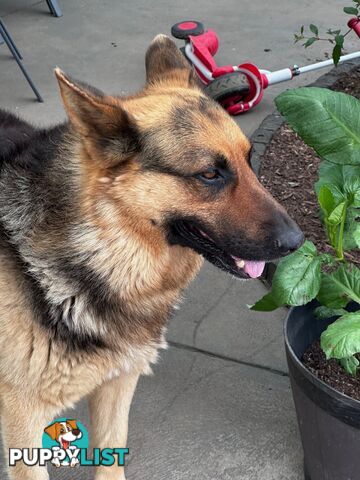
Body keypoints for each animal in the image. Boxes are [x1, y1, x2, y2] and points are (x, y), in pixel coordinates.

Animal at [0, 34, 304, 480]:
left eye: (249, 162)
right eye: (209, 174)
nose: (298, 241)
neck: (101, 248)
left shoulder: (118, 383)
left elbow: (111, 455)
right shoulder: (22, 424)